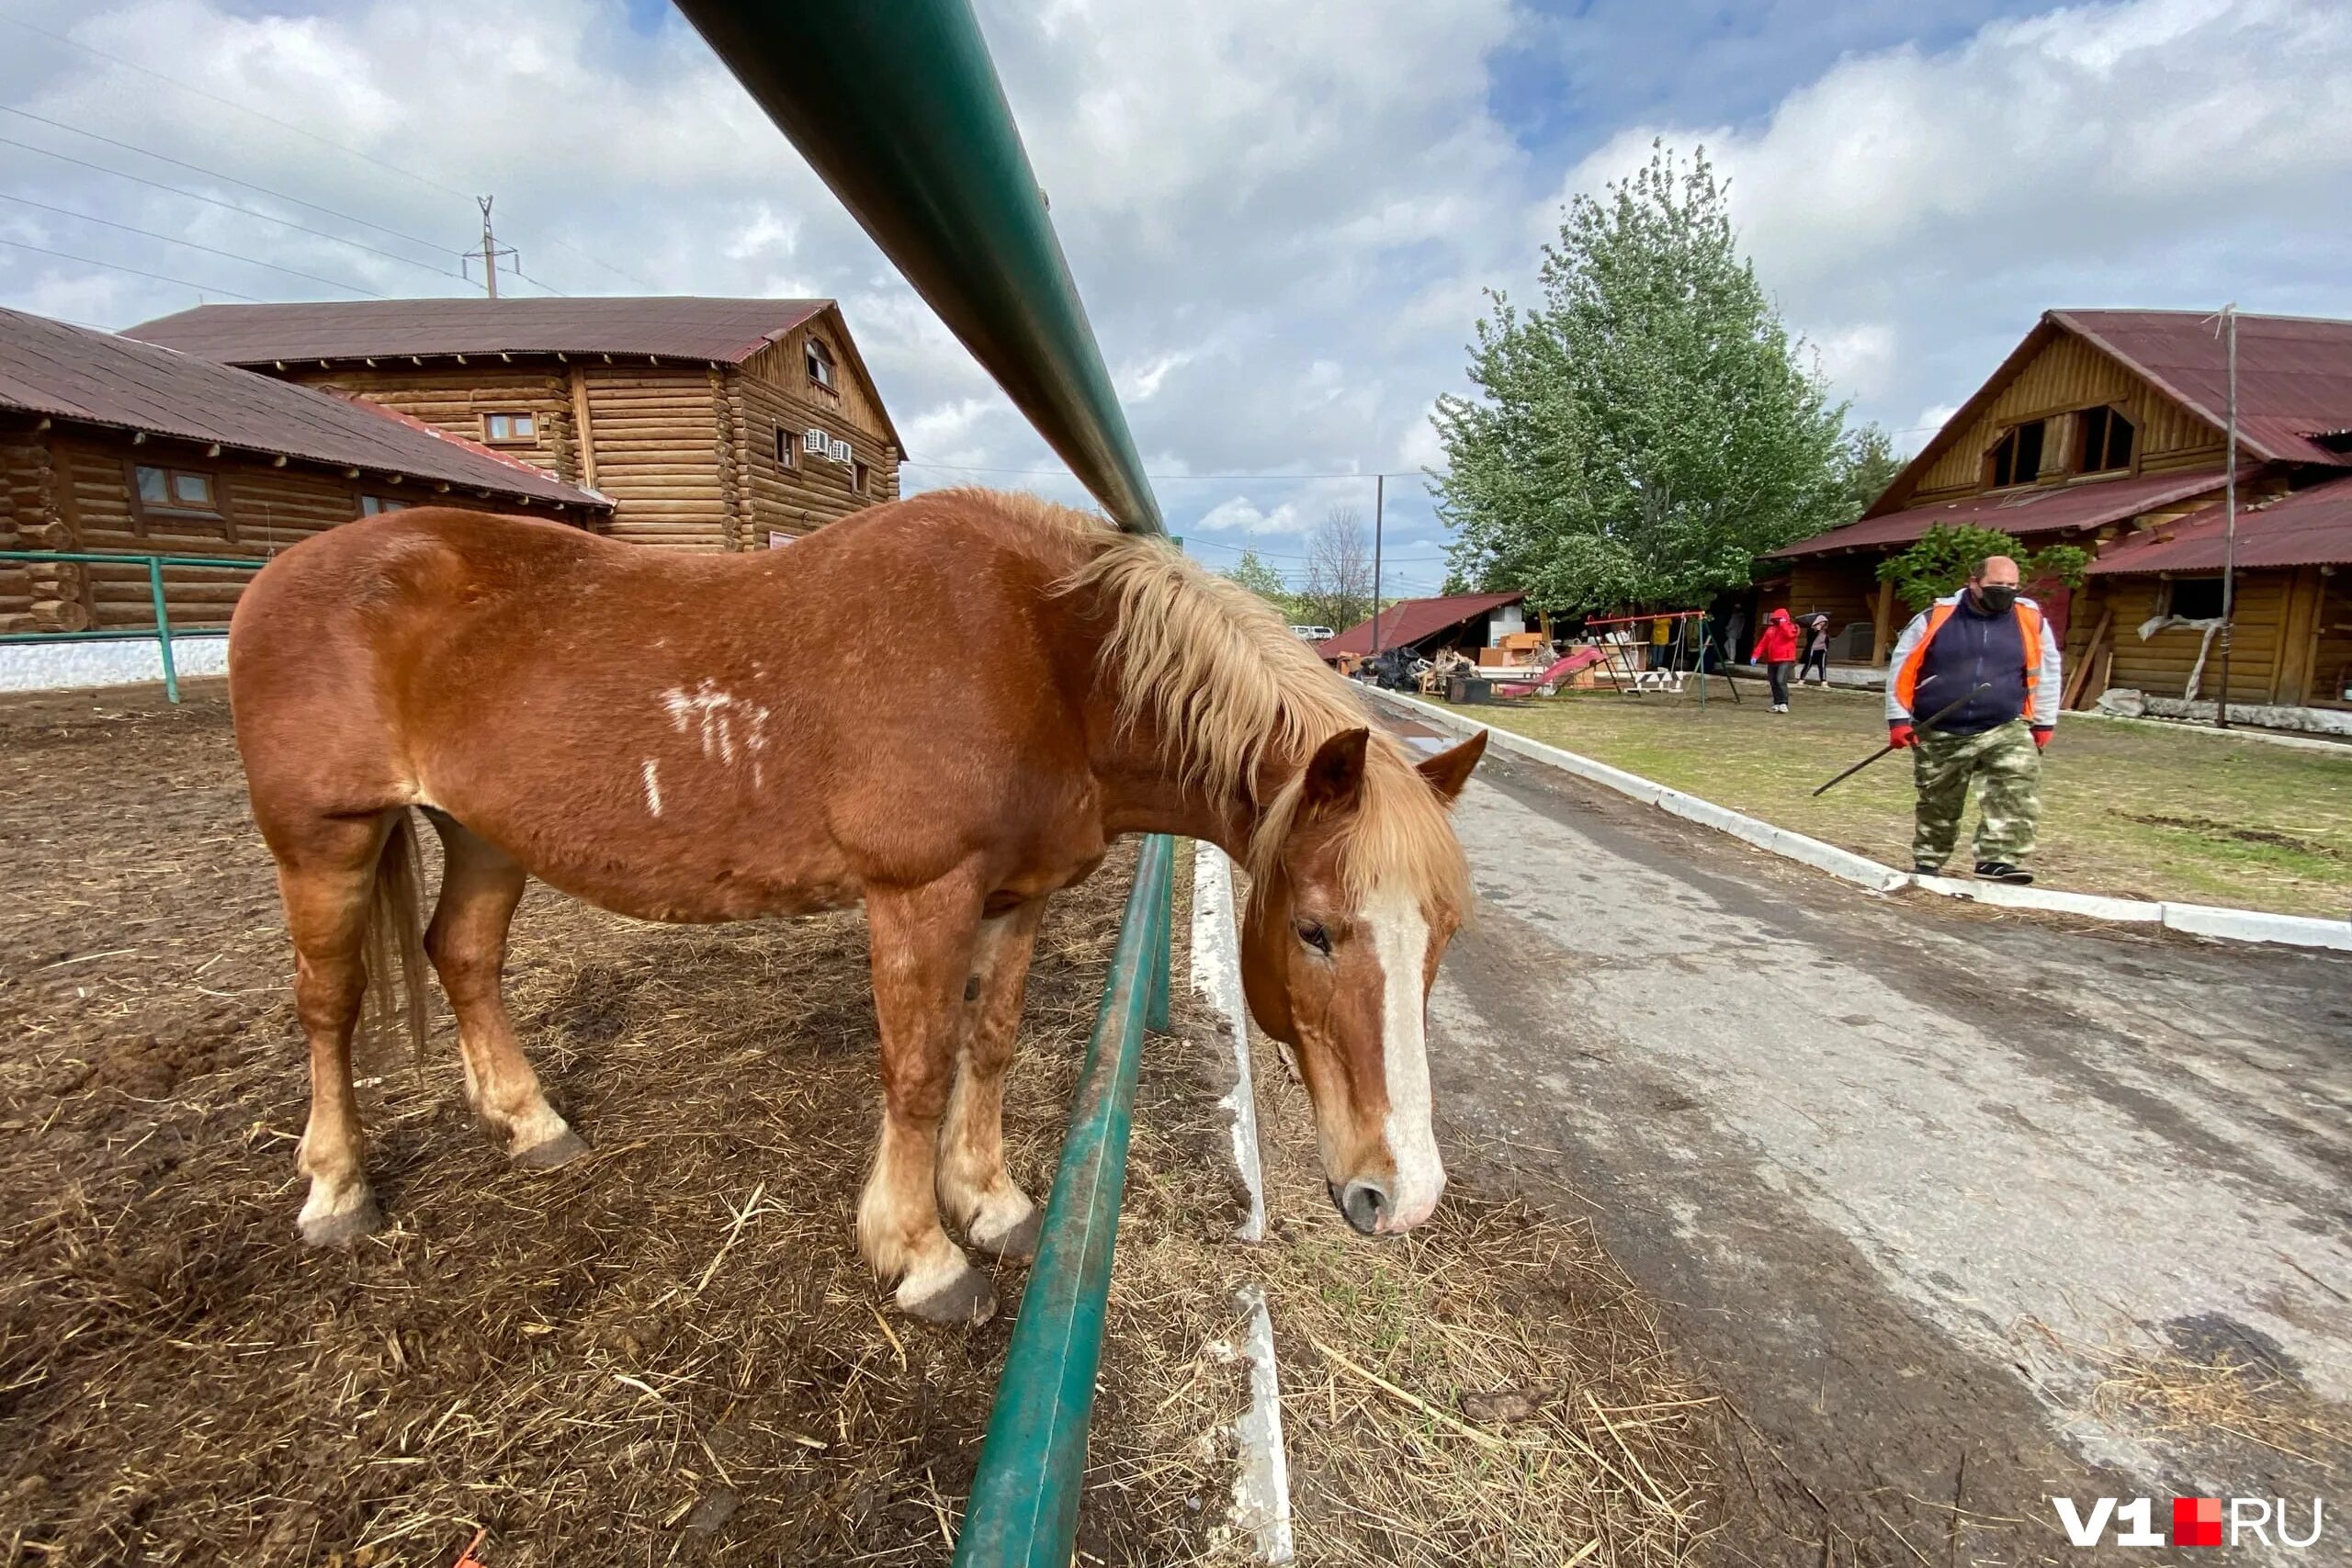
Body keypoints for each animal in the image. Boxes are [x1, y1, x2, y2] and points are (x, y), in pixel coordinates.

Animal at [238, 491, 1486, 1325]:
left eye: (1441, 941)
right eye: (1315, 930)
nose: (1401, 1195)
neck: (1043, 652)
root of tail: (280, 576)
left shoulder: (1017, 895)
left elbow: (989, 1042)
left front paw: (991, 1202)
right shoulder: (918, 895)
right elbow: (919, 1067)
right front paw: (922, 1254)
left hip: (485, 834)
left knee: (462, 956)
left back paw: (529, 1123)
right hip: (325, 840)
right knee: (327, 1003)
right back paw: (337, 1189)